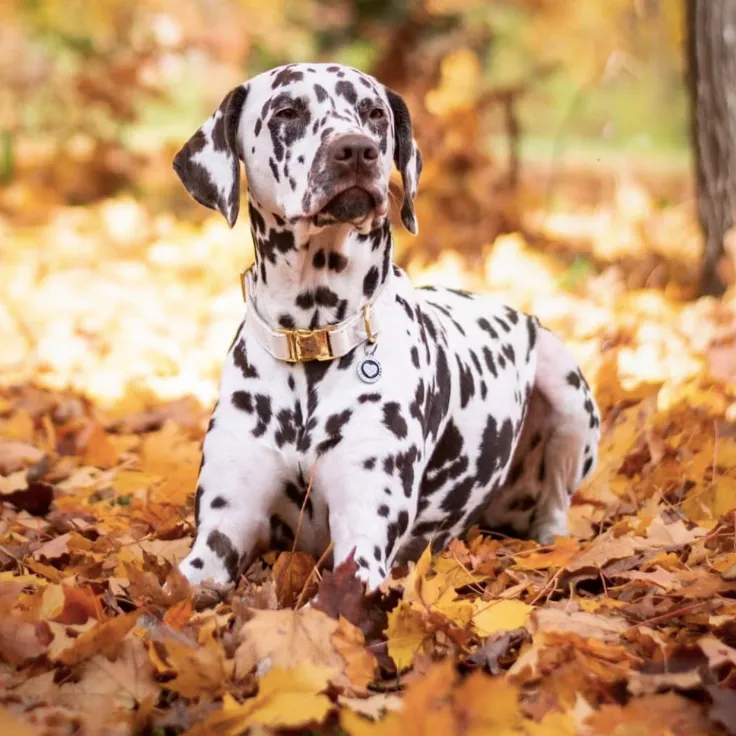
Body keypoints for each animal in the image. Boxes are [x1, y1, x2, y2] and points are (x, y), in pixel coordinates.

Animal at [175, 64, 600, 592]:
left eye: (374, 112)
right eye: (287, 111)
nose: (356, 149)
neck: (312, 343)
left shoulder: (363, 543)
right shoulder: (218, 536)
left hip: (566, 390)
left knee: (556, 504)